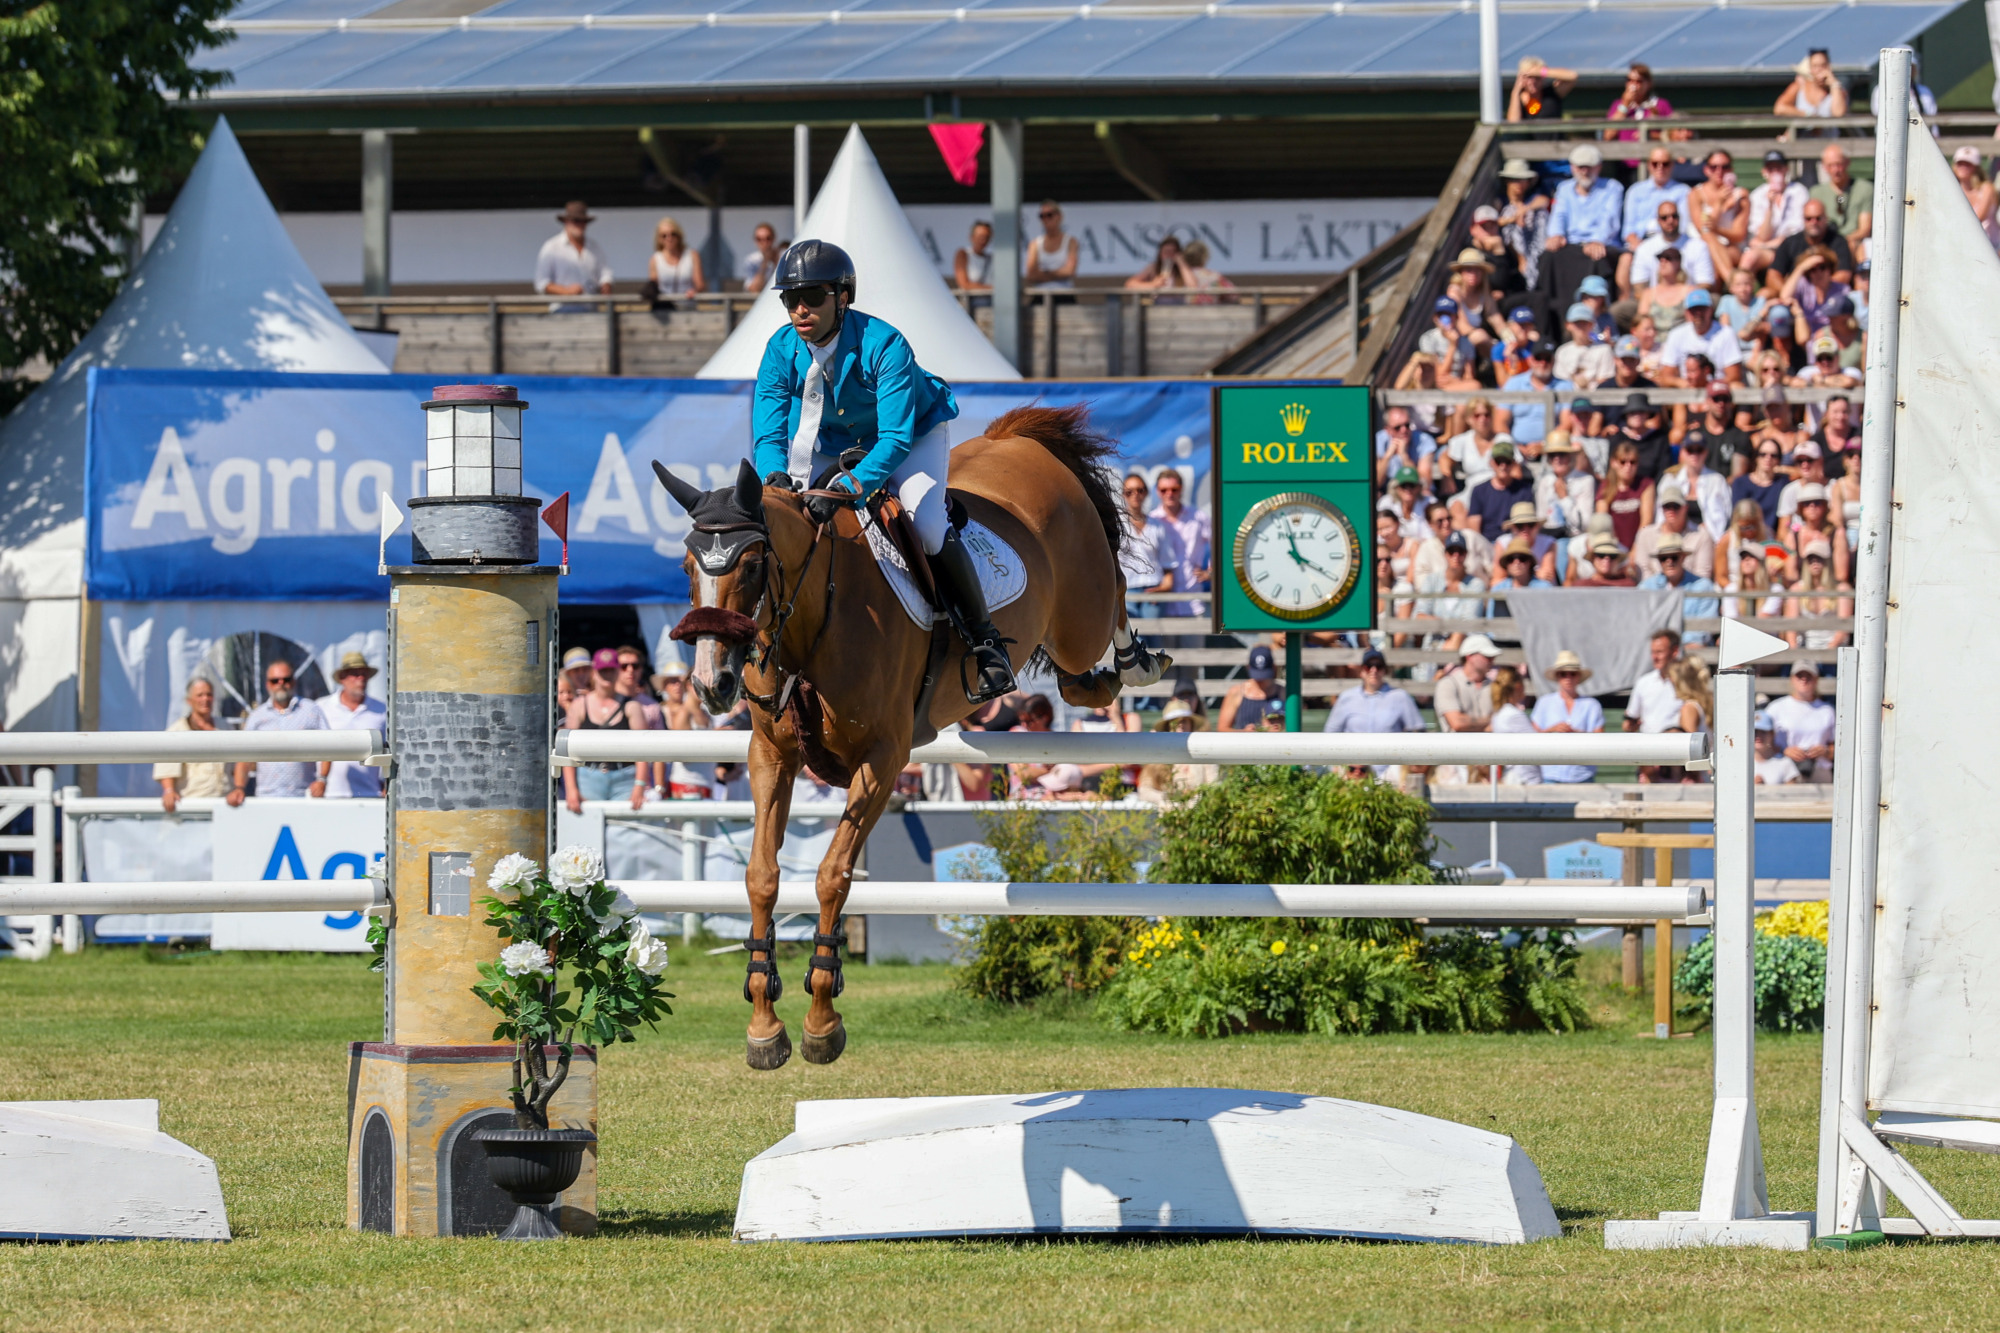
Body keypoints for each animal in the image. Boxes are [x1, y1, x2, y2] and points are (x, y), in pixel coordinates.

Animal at [654, 405, 1170, 1069]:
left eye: (749, 565)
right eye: (687, 567)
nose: (712, 684)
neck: (814, 614)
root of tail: (1017, 441)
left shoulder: (882, 759)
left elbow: (832, 874)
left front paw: (822, 1018)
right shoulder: (770, 756)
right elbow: (762, 875)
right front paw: (764, 1023)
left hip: (1082, 610)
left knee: (1114, 596)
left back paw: (1137, 660)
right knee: (1081, 681)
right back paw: (1092, 678)